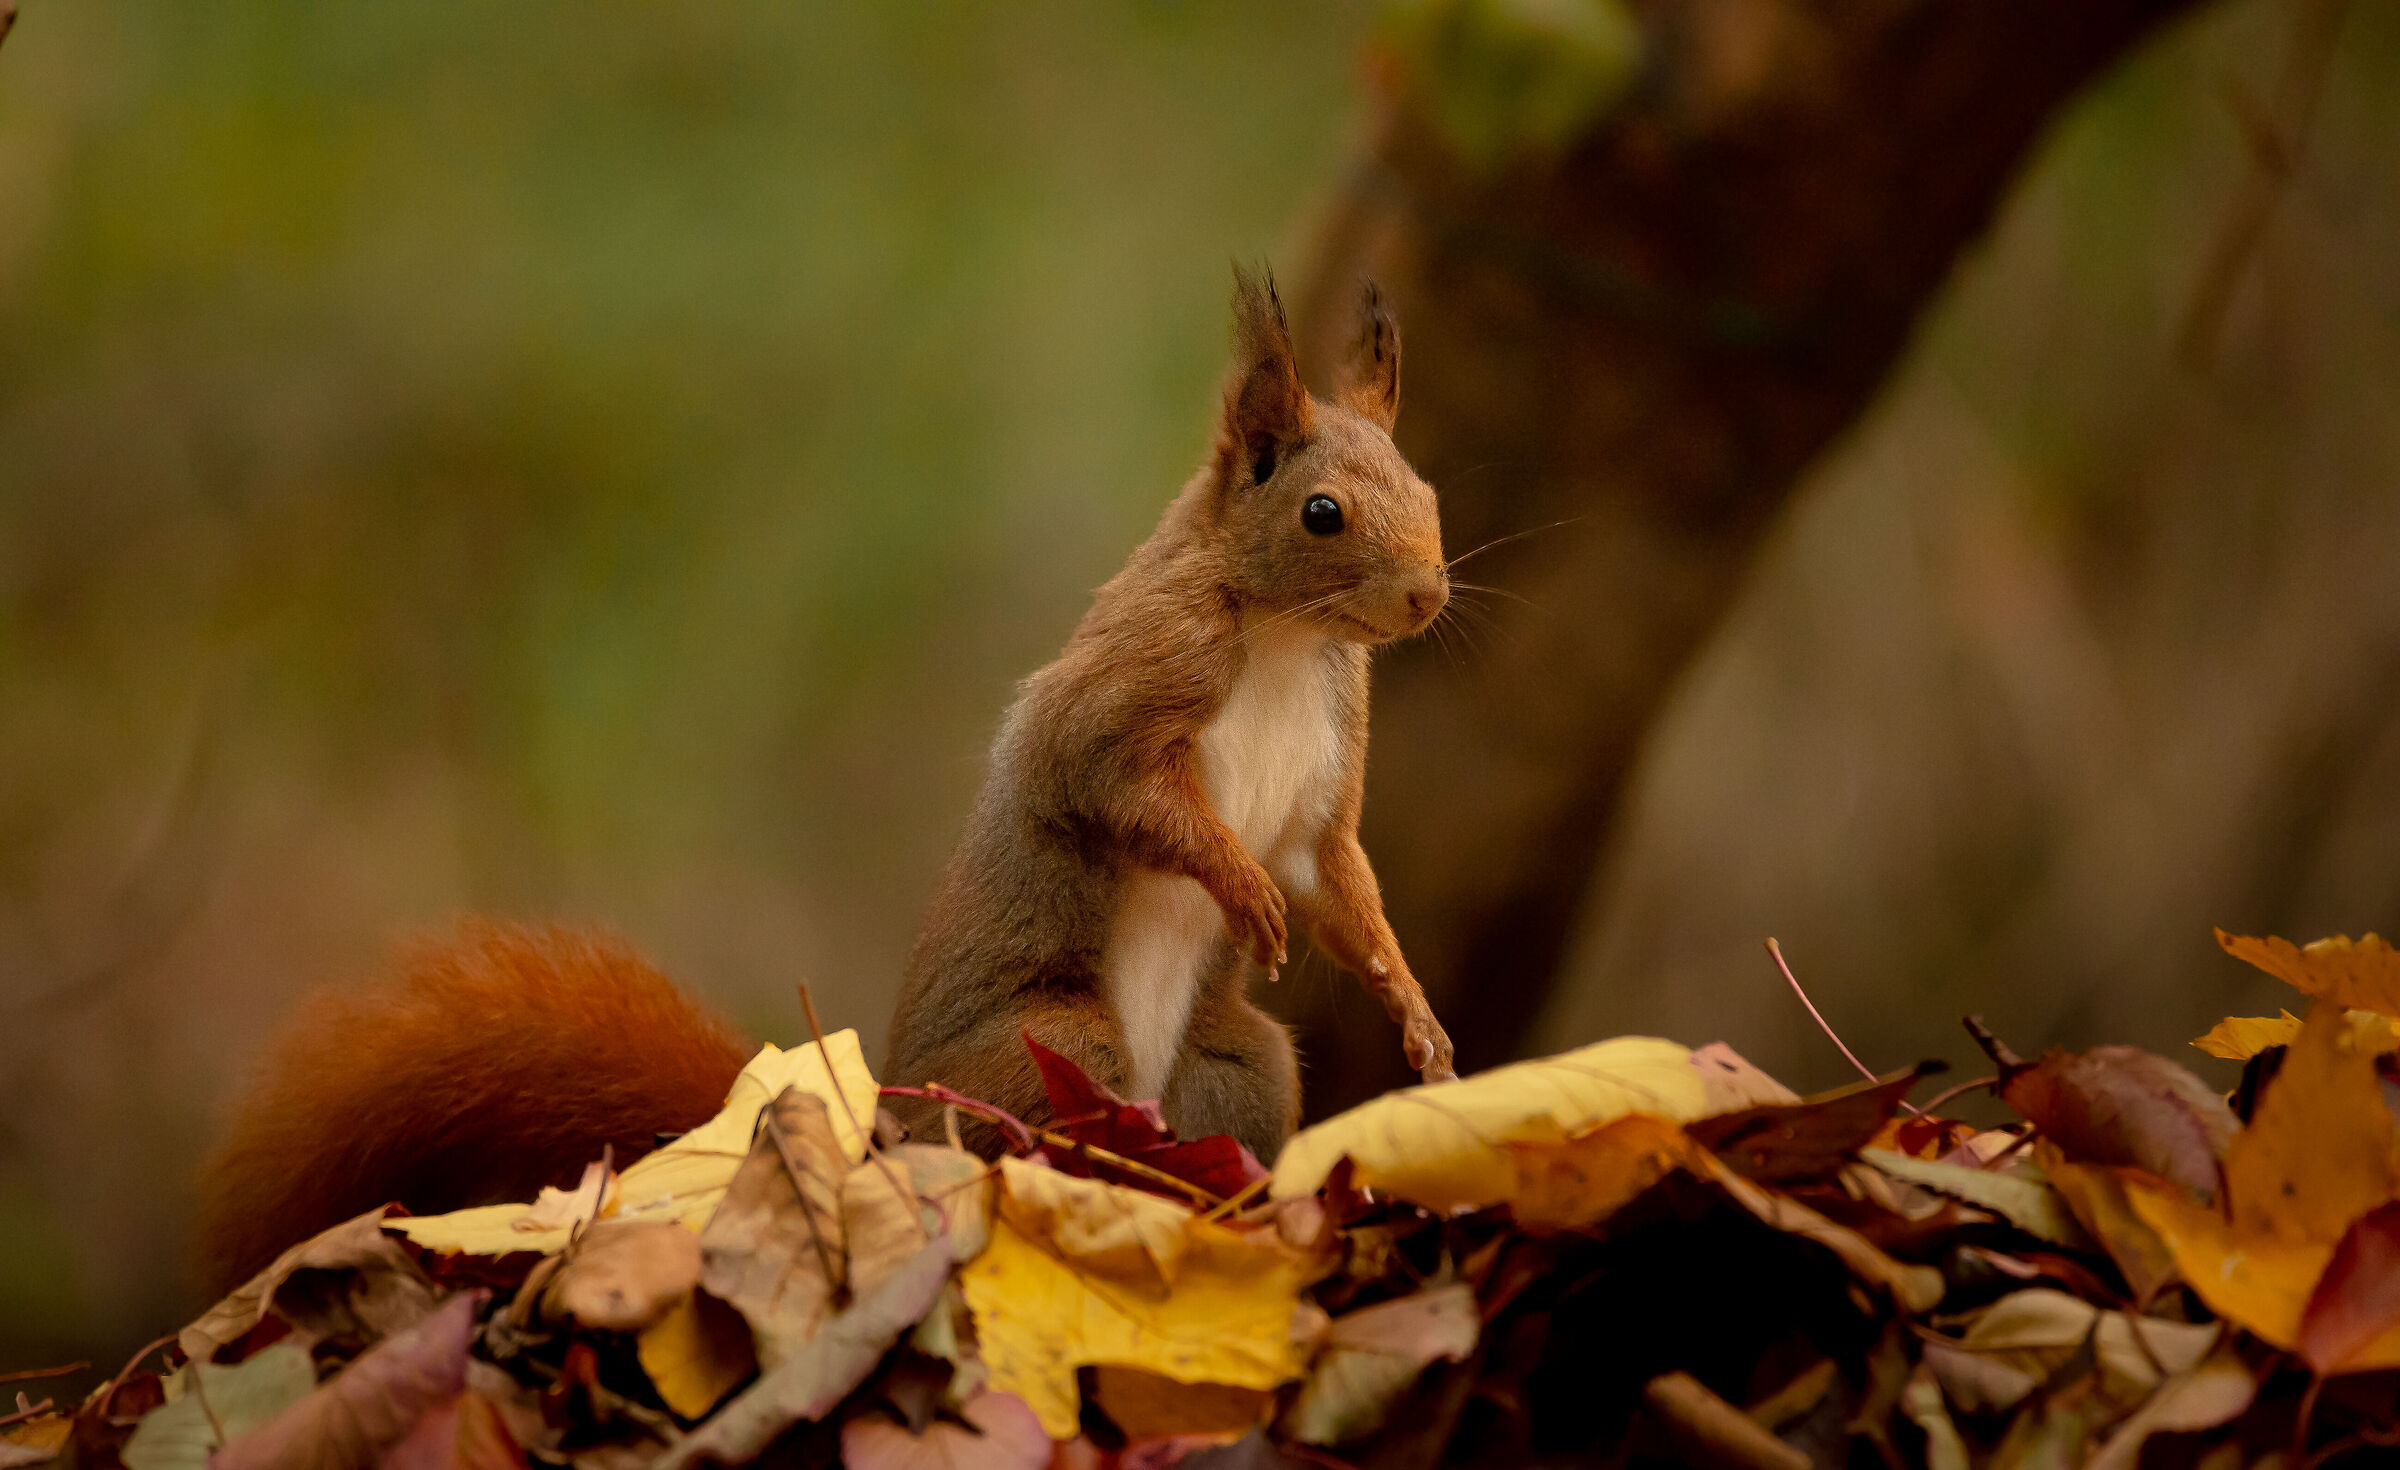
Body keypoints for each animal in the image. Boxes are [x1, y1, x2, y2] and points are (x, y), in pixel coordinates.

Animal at [195, 267, 1453, 1288]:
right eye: (1322, 513)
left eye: (1431, 493)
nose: (1428, 598)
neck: (1283, 639)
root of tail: (879, 1129)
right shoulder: (1127, 692)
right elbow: (1121, 793)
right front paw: (1240, 889)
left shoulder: (1326, 773)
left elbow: (1338, 881)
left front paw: (1416, 1015)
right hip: (1046, 1052)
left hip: (1234, 1067)